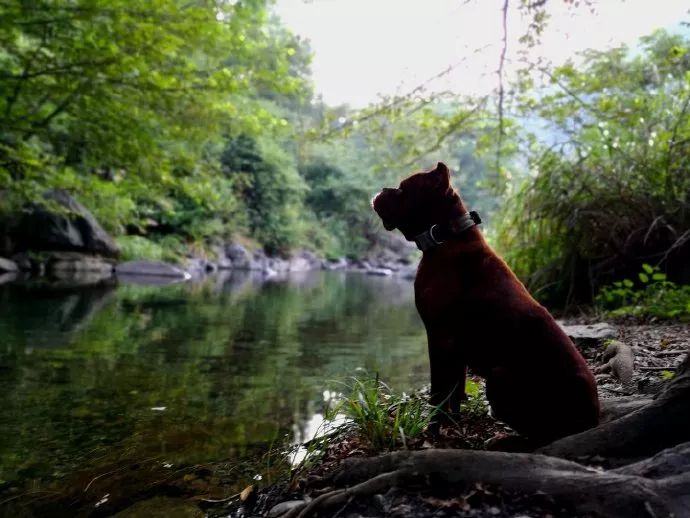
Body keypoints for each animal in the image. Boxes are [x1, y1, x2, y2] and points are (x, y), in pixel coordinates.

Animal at [370, 164, 596, 446]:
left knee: (540, 436)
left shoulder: (439, 338)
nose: (382, 189)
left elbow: (438, 394)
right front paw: (453, 424)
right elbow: (455, 391)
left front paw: (431, 431)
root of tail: (592, 417)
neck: (447, 237)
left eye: (402, 190)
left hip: (500, 377)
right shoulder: (454, 349)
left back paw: (505, 440)